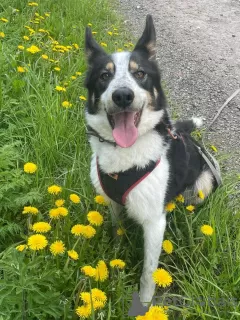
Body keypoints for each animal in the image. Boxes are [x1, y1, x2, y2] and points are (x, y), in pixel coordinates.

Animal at [84, 15, 221, 304]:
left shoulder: (155, 223)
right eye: (104, 76)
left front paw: (144, 304)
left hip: (202, 185)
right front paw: (116, 254)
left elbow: (148, 273)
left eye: (140, 74)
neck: (126, 154)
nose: (123, 95)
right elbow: (117, 230)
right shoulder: (113, 201)